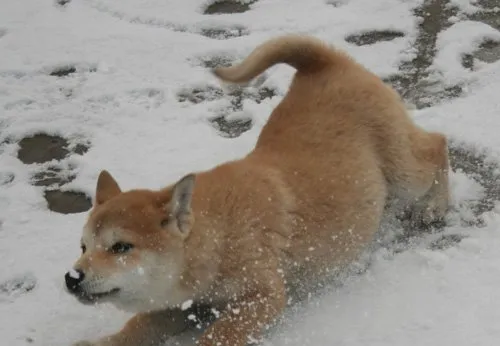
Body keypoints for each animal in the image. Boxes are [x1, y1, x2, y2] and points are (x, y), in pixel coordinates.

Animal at [64, 35, 452, 346]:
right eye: (83, 247)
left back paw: (435, 204)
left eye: (121, 247)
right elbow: (138, 326)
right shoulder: (180, 303)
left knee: (436, 145)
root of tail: (325, 62)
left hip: (403, 170)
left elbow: (217, 336)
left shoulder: (262, 295)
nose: (72, 278)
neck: (218, 234)